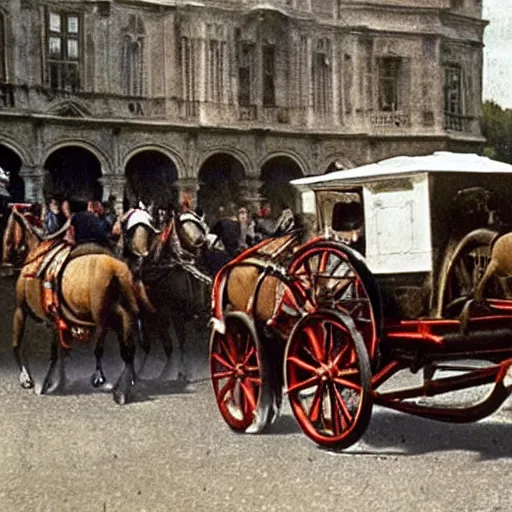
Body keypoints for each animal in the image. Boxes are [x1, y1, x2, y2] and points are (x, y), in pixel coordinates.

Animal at [1, 207, 150, 404]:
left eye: (9, 229)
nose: (5, 259)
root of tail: (117, 268)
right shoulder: (58, 321)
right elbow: (61, 352)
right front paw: (57, 383)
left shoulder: (21, 311)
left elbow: (20, 345)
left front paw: (33, 381)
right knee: (130, 345)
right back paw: (122, 387)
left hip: (107, 314)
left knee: (124, 345)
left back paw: (116, 385)